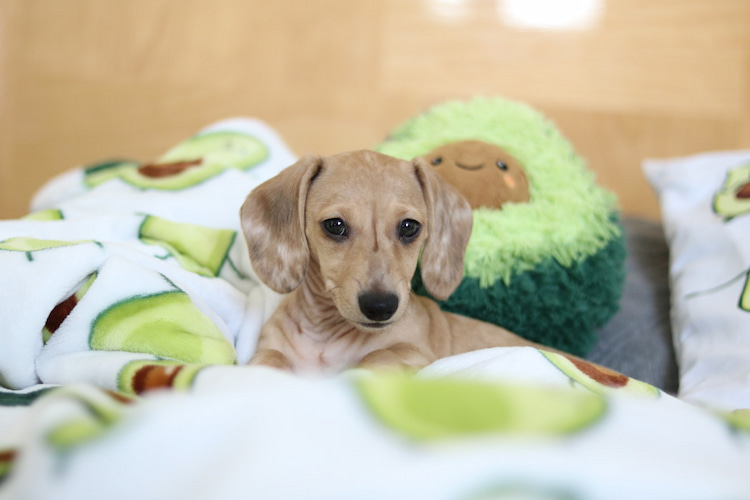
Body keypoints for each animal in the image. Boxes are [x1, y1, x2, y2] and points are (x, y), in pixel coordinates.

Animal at [242, 150, 552, 374]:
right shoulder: (269, 348)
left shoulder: (418, 353)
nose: (380, 307)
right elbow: (268, 360)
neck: (326, 336)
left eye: (409, 227)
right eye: (334, 225)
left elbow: (379, 354)